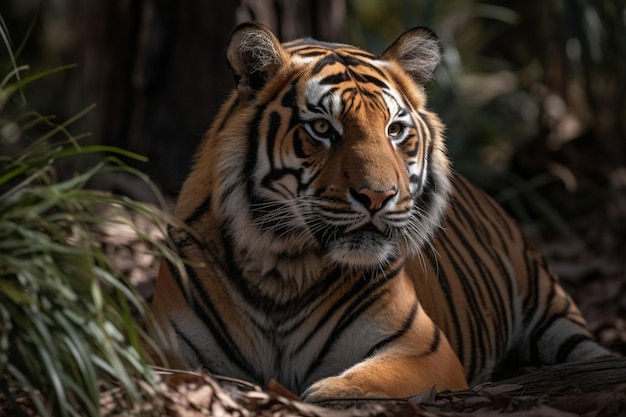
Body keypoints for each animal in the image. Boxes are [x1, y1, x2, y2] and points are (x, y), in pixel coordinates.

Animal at [149, 21, 608, 398]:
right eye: (322, 128)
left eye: (395, 129)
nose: (377, 196)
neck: (285, 273)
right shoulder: (165, 346)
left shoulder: (421, 347)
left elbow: (366, 380)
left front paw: (326, 394)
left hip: (554, 311)